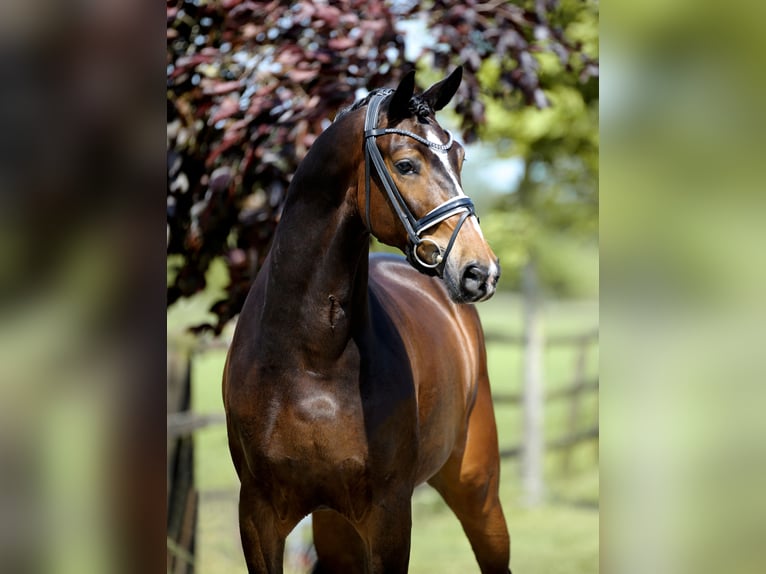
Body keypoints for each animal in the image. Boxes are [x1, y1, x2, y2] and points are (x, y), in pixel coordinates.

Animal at [224, 68, 510, 574]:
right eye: (406, 165)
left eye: (459, 157)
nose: (481, 272)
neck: (310, 360)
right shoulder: (257, 517)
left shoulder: (389, 515)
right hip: (336, 526)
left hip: (477, 490)